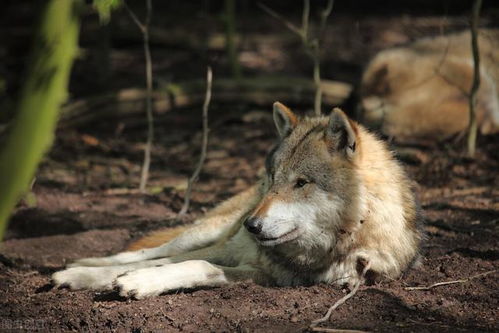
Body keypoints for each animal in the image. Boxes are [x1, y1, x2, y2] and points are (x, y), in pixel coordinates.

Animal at [52, 102, 424, 298]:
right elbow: (157, 262)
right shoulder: (230, 248)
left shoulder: (268, 277)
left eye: (301, 183)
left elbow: (196, 267)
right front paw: (91, 277)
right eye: (272, 178)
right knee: (146, 251)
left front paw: (138, 283)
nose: (252, 225)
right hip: (208, 233)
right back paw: (82, 265)